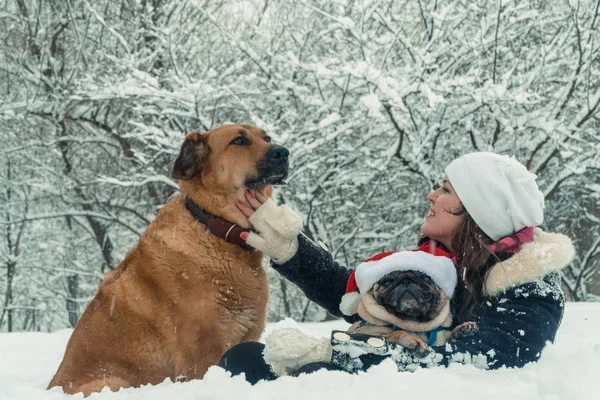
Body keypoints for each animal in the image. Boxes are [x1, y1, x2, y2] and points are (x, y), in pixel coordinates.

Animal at [49, 123, 288, 396]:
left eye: (266, 137)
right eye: (239, 140)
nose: (283, 152)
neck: (213, 227)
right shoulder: (203, 355)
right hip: (113, 383)